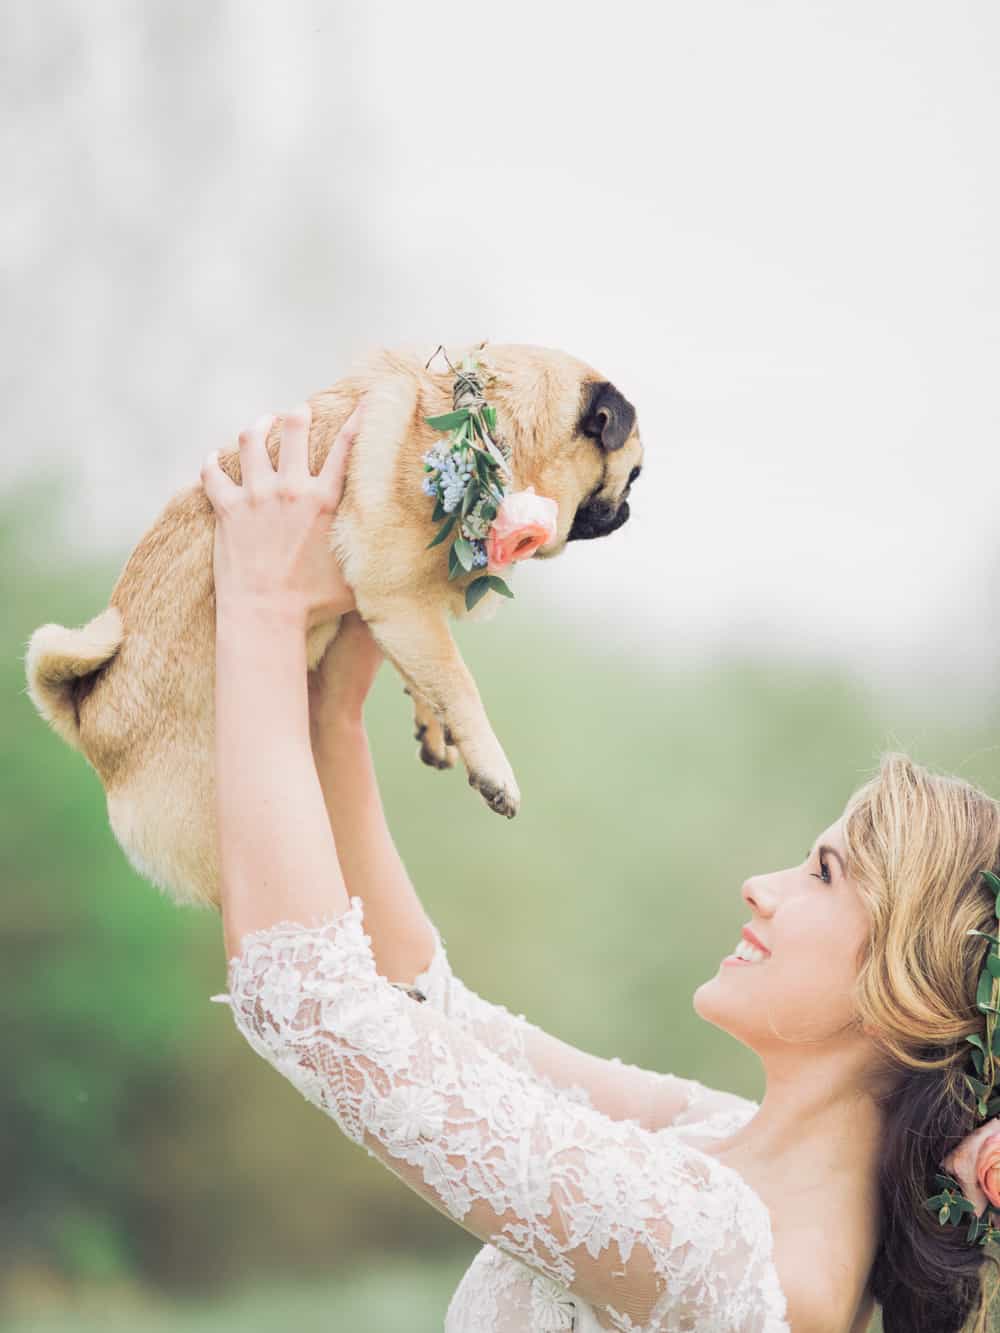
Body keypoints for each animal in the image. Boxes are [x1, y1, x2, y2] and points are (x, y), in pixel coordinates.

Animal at [29, 338, 650, 911]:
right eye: (634, 475)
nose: (627, 511)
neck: (483, 426)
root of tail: (88, 713)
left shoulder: (406, 616)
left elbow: (430, 677)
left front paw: (434, 727)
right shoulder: (397, 597)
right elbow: (458, 680)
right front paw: (493, 769)